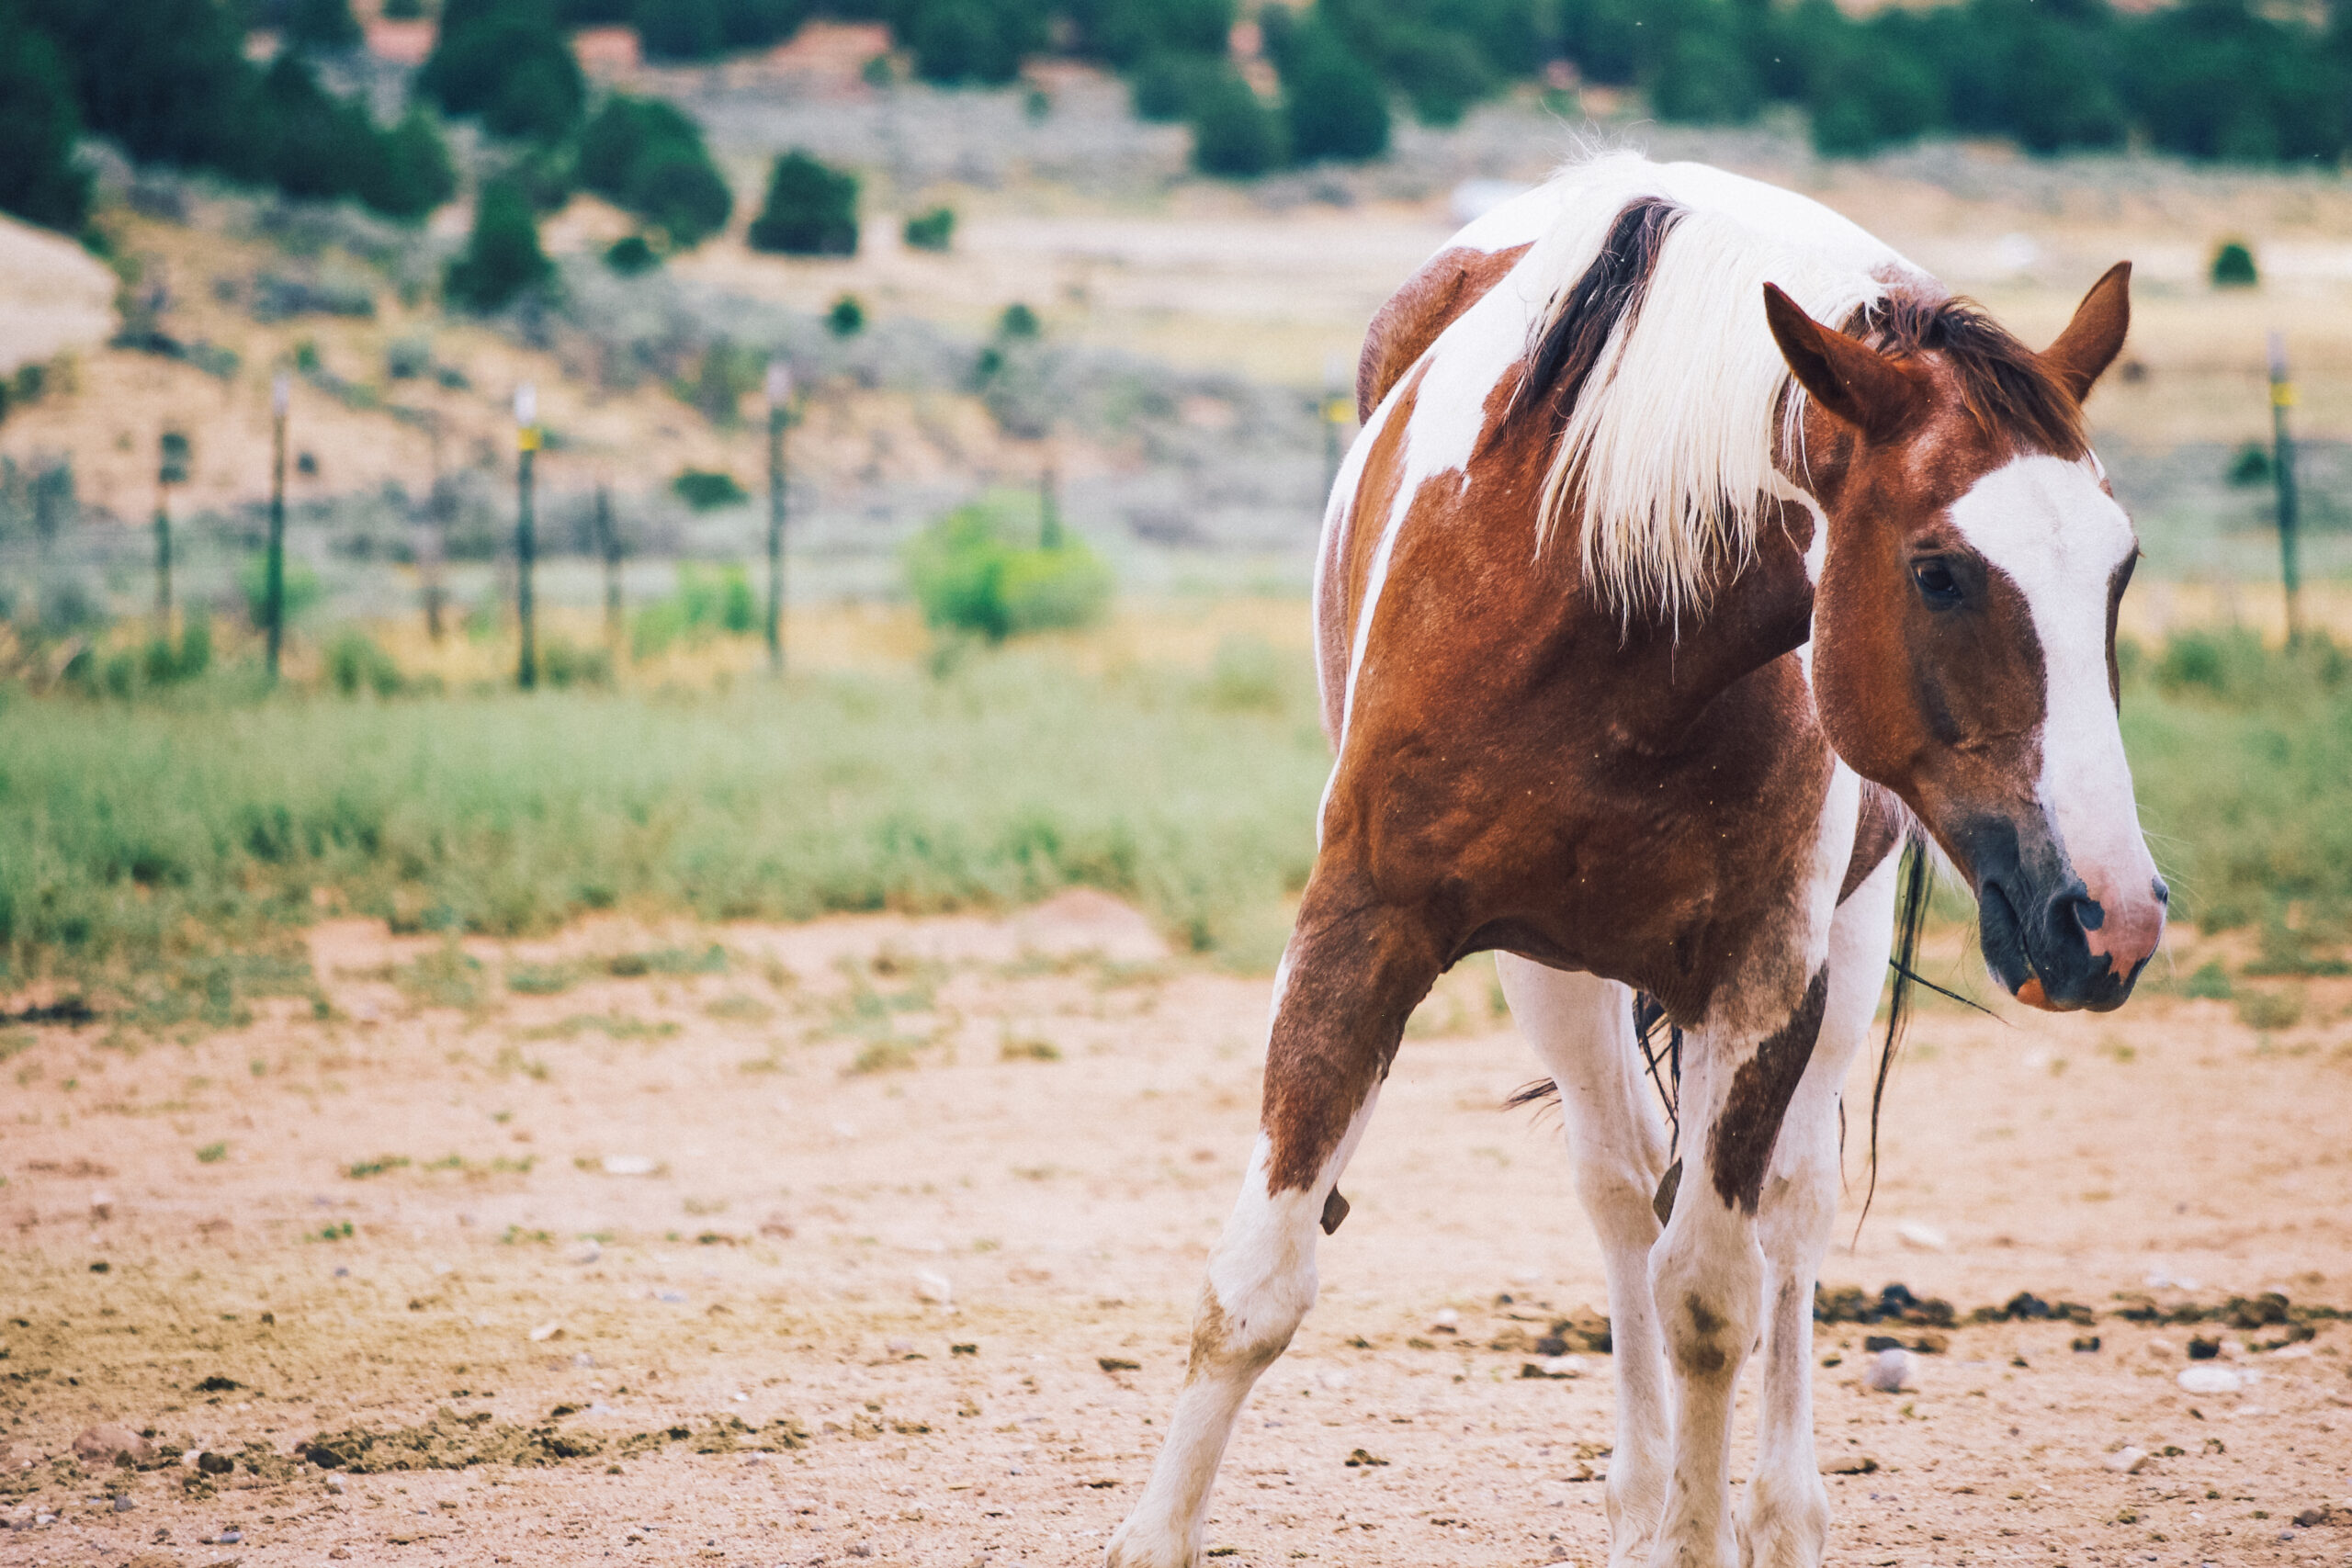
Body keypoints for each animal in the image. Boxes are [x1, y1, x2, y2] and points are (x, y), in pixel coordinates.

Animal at [1101, 150, 2164, 1568]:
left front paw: (1711, 1525)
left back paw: (1776, 1510)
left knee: (1788, 1218)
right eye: (1939, 571)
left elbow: (1712, 1295)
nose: (2110, 917)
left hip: (1843, 953)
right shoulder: (1365, 921)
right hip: (1554, 973)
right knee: (1615, 1196)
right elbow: (1257, 1282)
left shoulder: (1764, 979)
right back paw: (1642, 1496)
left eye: (2119, 568)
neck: (1605, 615)